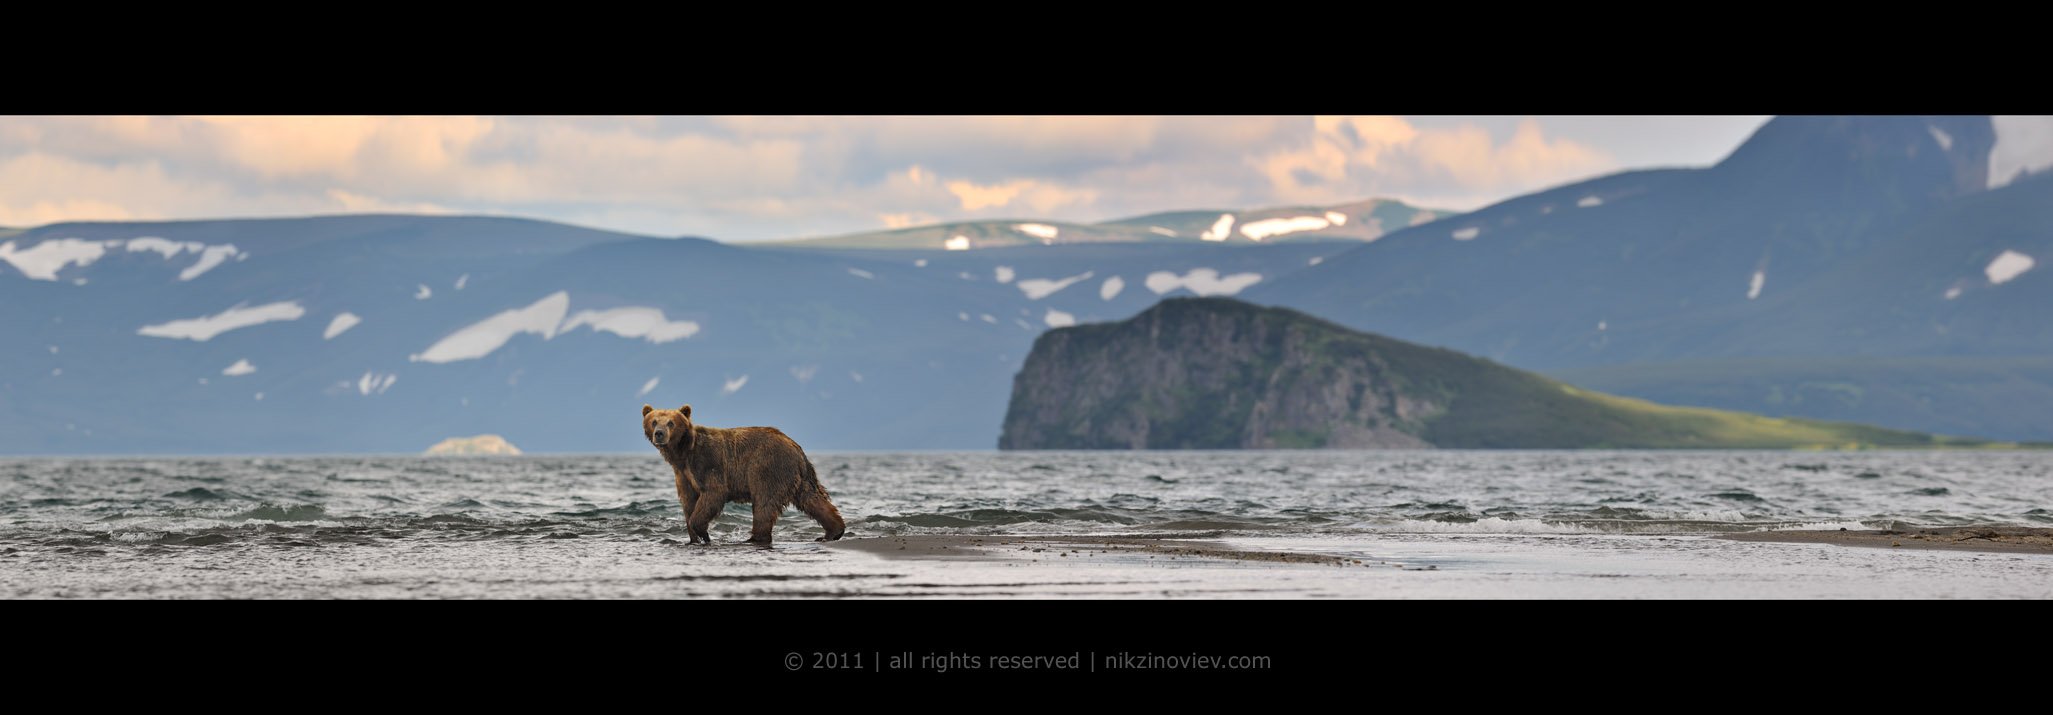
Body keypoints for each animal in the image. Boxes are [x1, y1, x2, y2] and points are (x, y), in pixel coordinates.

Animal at [632, 404, 841, 546]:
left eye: (671, 422)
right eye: (653, 421)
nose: (659, 433)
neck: (683, 453)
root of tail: (795, 446)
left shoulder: (708, 463)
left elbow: (713, 494)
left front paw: (704, 533)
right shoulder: (683, 474)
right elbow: (688, 502)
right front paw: (693, 537)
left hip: (767, 468)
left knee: (764, 504)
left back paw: (754, 538)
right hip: (799, 477)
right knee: (812, 498)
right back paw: (833, 531)